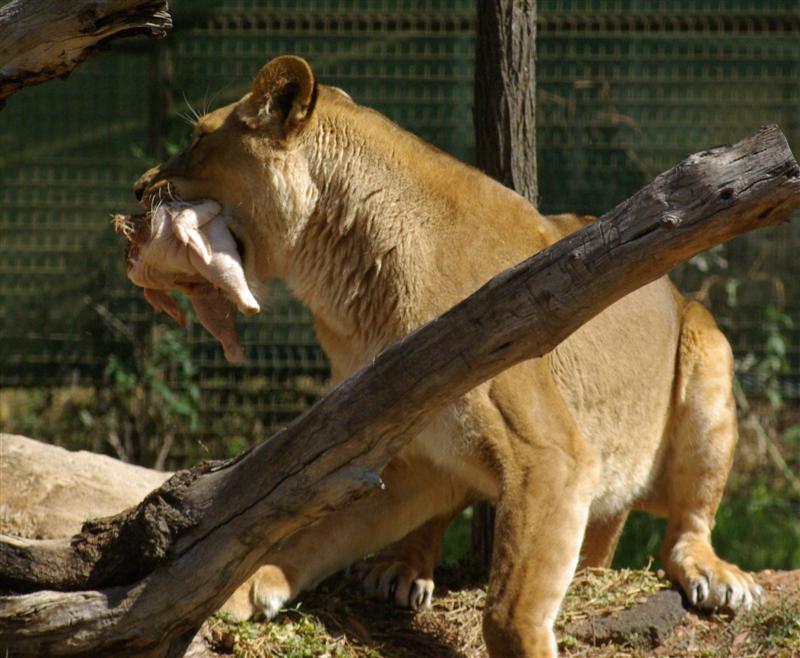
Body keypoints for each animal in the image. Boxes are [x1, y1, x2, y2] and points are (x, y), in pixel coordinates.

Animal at [131, 55, 762, 657]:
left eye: (198, 138)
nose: (138, 189)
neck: (345, 281)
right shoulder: (398, 453)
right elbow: (316, 532)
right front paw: (243, 584)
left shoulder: (551, 455)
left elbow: (508, 609)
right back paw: (401, 568)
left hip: (709, 353)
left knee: (688, 517)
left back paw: (712, 572)